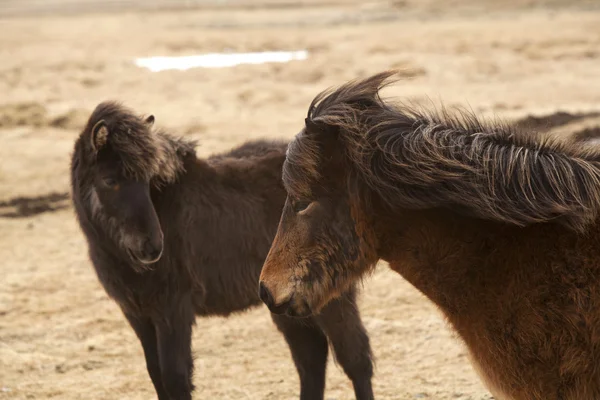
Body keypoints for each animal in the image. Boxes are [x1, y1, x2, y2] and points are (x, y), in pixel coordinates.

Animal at [71, 101, 376, 400]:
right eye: (109, 180)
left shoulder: (173, 310)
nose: (152, 247)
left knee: (355, 360)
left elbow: (175, 379)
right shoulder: (137, 315)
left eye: (147, 181)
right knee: (311, 359)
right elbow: (156, 376)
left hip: (330, 296)